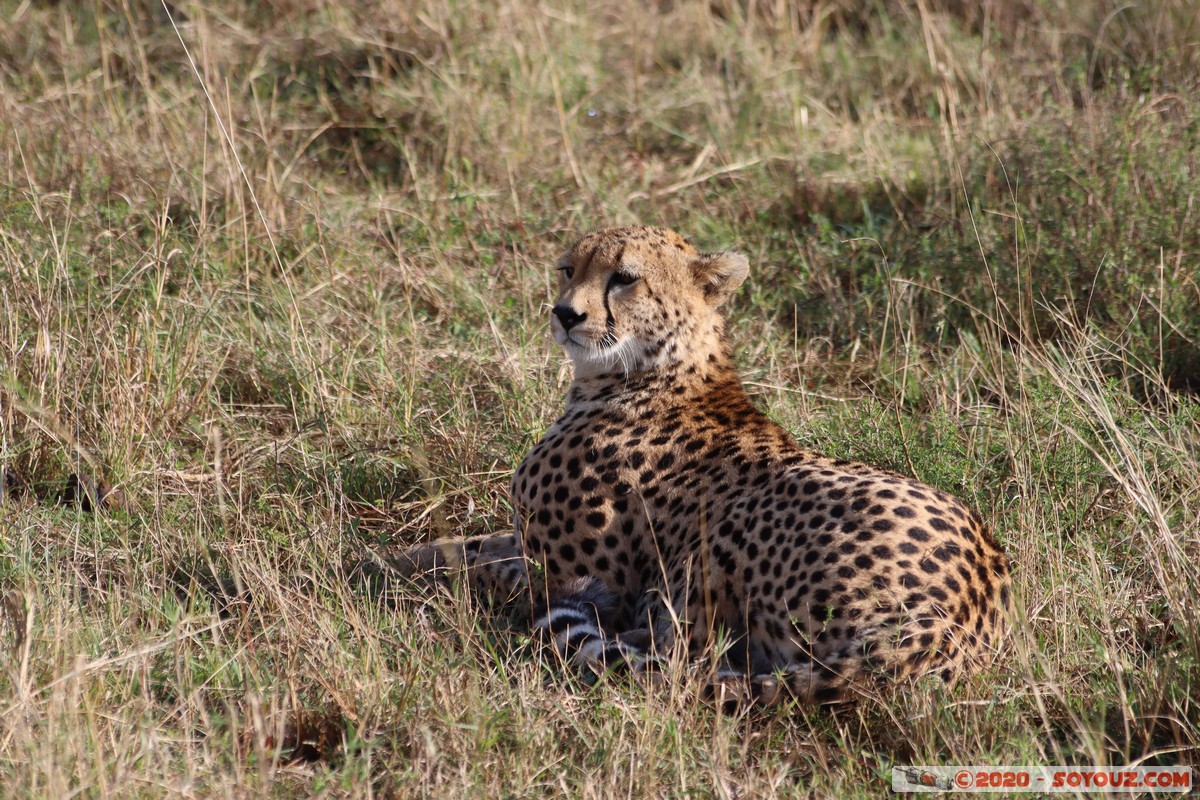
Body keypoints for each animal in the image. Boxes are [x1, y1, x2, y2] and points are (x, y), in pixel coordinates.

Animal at [393, 224, 1012, 700]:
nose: (565, 314)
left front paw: (383, 572)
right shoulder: (532, 544)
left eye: (624, 277)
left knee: (678, 659)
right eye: (568, 269)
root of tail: (957, 624)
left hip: (737, 523)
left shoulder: (572, 576)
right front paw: (396, 557)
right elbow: (463, 545)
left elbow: (478, 567)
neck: (651, 370)